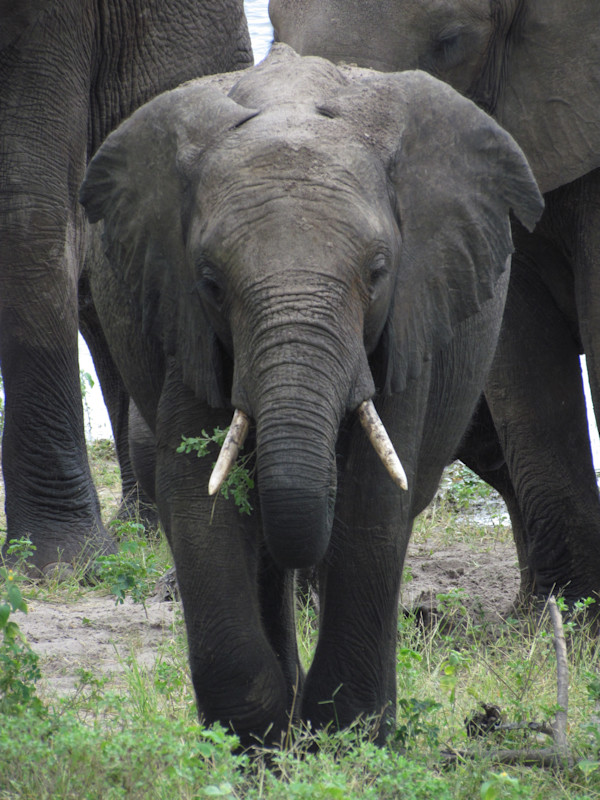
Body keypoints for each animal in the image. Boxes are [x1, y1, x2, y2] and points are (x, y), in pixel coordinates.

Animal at [79, 45, 542, 745]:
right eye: (210, 282)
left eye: (377, 273)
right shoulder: (184, 323)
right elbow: (196, 493)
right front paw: (256, 740)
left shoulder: (411, 315)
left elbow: (374, 502)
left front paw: (345, 737)